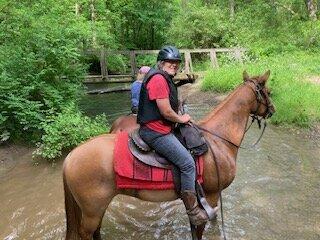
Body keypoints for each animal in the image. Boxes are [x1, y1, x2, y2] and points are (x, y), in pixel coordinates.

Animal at [62, 70, 276, 239]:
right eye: (268, 92)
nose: (273, 110)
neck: (218, 139)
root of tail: (71, 156)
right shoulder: (211, 195)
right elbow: (201, 228)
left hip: (97, 208)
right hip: (92, 211)